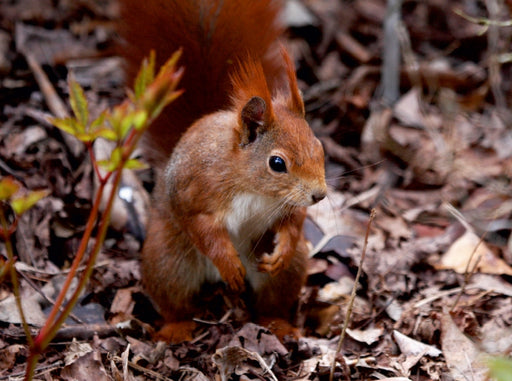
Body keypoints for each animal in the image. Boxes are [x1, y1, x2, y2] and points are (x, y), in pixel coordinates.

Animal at [119, 0, 326, 342]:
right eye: (277, 163)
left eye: (320, 147)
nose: (319, 195)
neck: (252, 185)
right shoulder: (194, 188)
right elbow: (201, 226)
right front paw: (228, 263)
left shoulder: (287, 204)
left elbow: (293, 219)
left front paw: (283, 247)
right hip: (167, 262)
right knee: (174, 300)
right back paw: (177, 327)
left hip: (286, 272)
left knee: (272, 300)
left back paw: (278, 323)